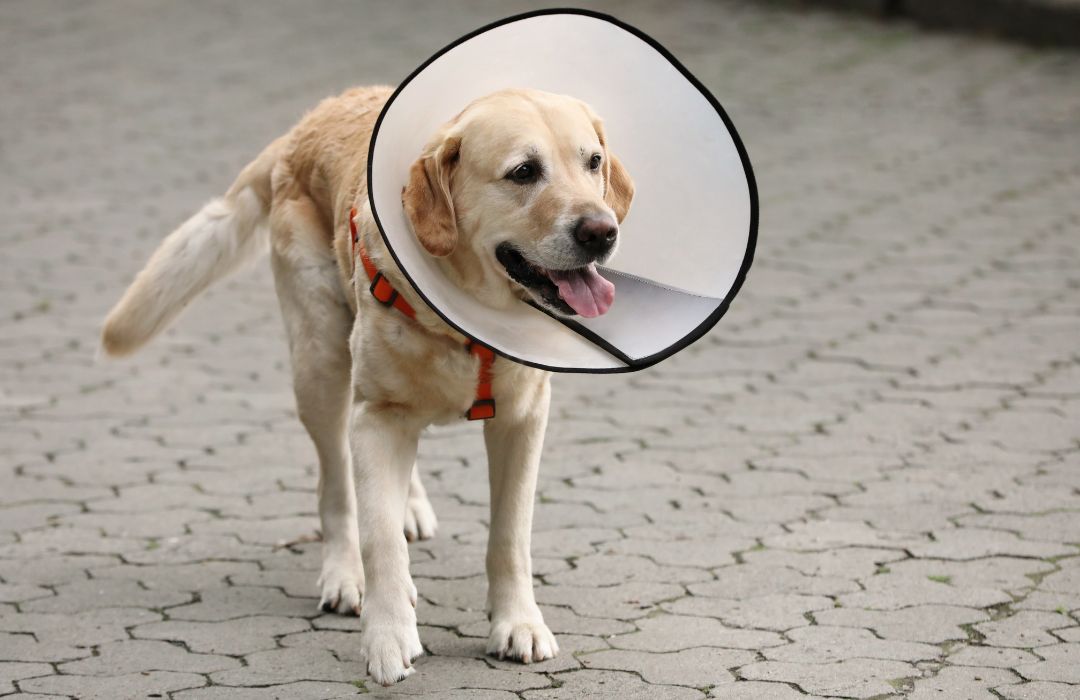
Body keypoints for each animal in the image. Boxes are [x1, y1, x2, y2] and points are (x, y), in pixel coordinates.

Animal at [101, 85, 630, 682]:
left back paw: (411, 508)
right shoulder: (374, 418)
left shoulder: (522, 418)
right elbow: (379, 537)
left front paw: (517, 623)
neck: (462, 323)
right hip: (320, 366)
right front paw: (388, 637)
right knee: (336, 487)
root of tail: (309, 121)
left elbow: (510, 535)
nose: (602, 232)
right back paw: (343, 573)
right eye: (523, 171)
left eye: (593, 162)